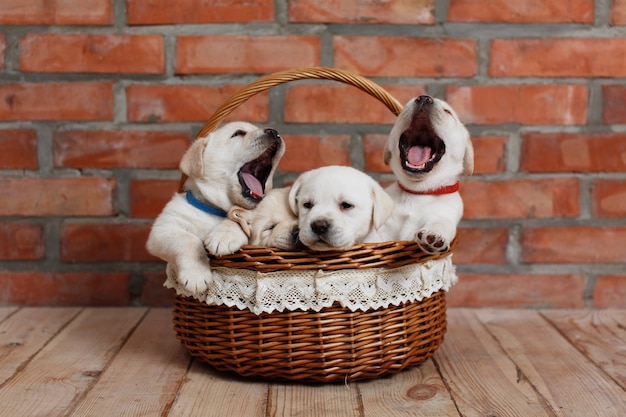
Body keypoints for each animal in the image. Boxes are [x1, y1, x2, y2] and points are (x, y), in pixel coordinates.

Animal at [145, 121, 284, 292]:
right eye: (238, 133)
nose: (274, 132)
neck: (217, 209)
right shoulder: (162, 229)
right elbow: (188, 240)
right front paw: (196, 275)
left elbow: (237, 219)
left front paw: (223, 236)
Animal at [376, 94, 472, 252]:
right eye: (404, 110)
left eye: (448, 112)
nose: (424, 98)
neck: (417, 192)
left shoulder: (446, 214)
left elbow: (441, 222)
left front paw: (434, 235)